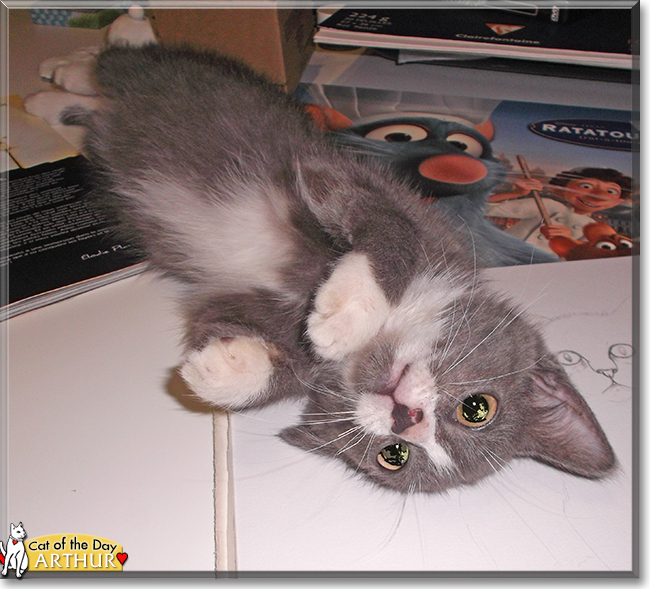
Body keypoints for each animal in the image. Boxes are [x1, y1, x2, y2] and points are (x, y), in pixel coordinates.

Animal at [74, 46, 612, 494]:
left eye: (393, 457)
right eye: (478, 408)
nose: (408, 418)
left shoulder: (234, 299)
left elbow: (233, 332)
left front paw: (219, 373)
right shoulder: (351, 179)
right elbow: (389, 226)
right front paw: (347, 312)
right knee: (114, 61)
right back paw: (75, 78)